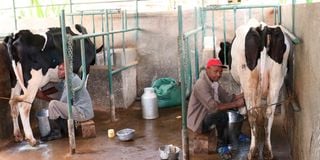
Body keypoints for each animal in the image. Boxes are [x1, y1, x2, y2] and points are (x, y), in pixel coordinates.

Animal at [230, 19, 292, 160]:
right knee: (269, 113)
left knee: (253, 113)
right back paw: (268, 151)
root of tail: (262, 27)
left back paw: (252, 152)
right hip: (276, 79)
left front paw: (241, 111)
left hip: (248, 79)